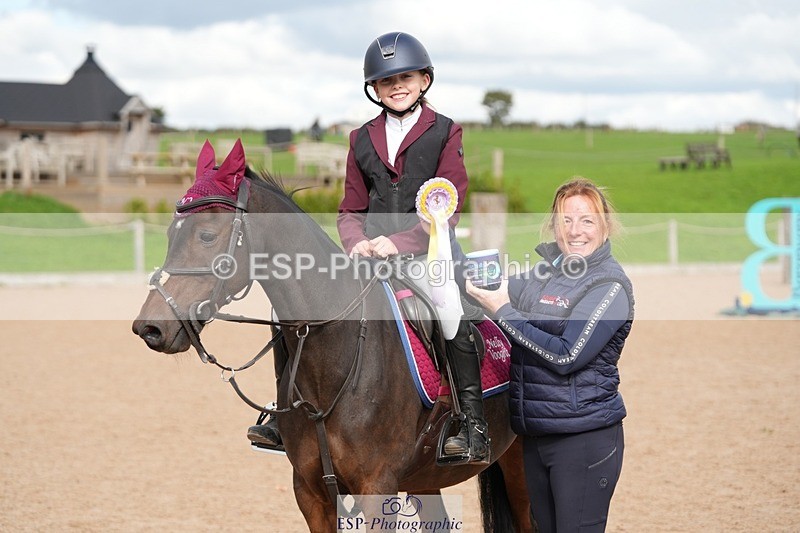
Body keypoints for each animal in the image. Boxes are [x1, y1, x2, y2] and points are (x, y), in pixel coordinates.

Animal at [132, 140, 533, 532]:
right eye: (170, 234)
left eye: (207, 235)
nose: (150, 328)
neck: (333, 358)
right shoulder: (310, 493)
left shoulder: (377, 486)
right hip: (426, 478)